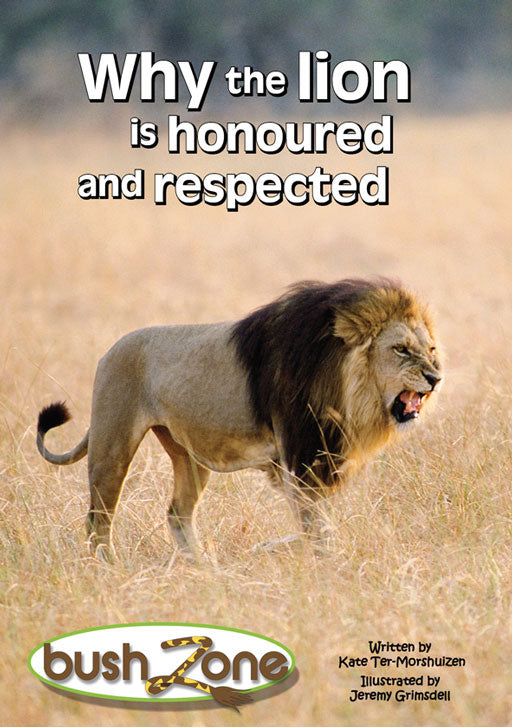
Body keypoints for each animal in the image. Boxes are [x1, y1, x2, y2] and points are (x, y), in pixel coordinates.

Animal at [37, 278, 442, 560]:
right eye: (401, 349)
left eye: (431, 349)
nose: (436, 377)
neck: (346, 386)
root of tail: (109, 351)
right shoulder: (300, 460)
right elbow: (318, 527)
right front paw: (323, 560)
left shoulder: (312, 461)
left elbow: (315, 526)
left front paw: (274, 548)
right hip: (112, 445)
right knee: (97, 519)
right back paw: (110, 568)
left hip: (187, 455)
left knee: (177, 513)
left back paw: (203, 568)